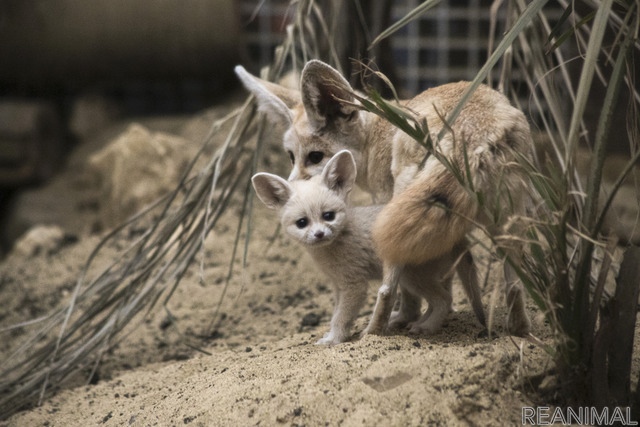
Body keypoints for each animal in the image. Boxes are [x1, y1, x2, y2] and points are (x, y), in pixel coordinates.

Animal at [238, 61, 532, 338]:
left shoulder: (386, 202)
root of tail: (471, 129)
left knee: (387, 289)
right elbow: (444, 275)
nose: (293, 188)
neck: (375, 135)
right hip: (506, 224)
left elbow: (407, 289)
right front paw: (434, 316)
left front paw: (407, 317)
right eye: (291, 156)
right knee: (515, 288)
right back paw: (517, 331)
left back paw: (373, 333)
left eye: (315, 157)